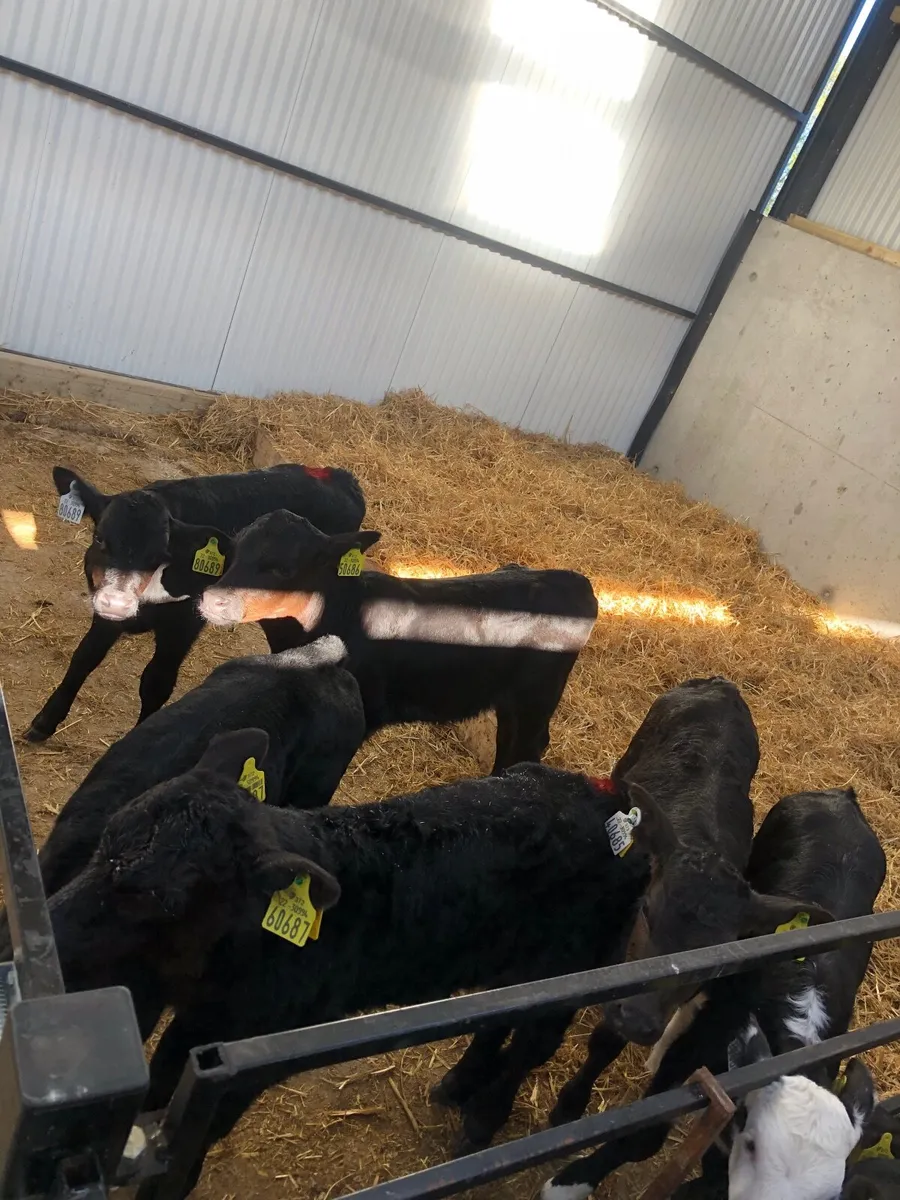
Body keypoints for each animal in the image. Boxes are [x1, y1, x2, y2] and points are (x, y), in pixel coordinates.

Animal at [26, 464, 365, 741]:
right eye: (99, 538)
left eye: (158, 553)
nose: (118, 602)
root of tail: (340, 476)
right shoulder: (105, 612)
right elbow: (84, 657)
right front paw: (45, 721)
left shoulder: (183, 625)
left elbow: (157, 681)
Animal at [198, 509, 598, 771]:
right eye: (232, 552)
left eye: (283, 569)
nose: (214, 600)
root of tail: (576, 580)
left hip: (537, 697)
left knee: (531, 744)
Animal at [541, 786, 886, 1200]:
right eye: (753, 1146)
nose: (638, 1021)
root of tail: (844, 795)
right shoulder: (694, 1047)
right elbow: (644, 1134)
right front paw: (568, 1183)